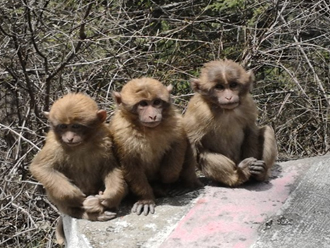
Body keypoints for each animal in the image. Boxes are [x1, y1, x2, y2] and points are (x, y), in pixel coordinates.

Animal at [29, 92, 127, 223]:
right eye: (63, 126)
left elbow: (111, 166)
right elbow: (41, 168)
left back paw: (97, 202)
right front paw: (75, 196)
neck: (81, 144)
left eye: (75, 126)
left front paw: (110, 196)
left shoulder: (105, 138)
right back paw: (87, 212)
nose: (69, 138)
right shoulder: (54, 145)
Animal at [110, 77, 201, 215]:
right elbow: (131, 164)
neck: (149, 130)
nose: (152, 115)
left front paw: (167, 179)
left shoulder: (175, 121)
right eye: (143, 104)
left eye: (156, 102)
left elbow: (178, 144)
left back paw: (184, 185)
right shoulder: (121, 133)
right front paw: (146, 199)